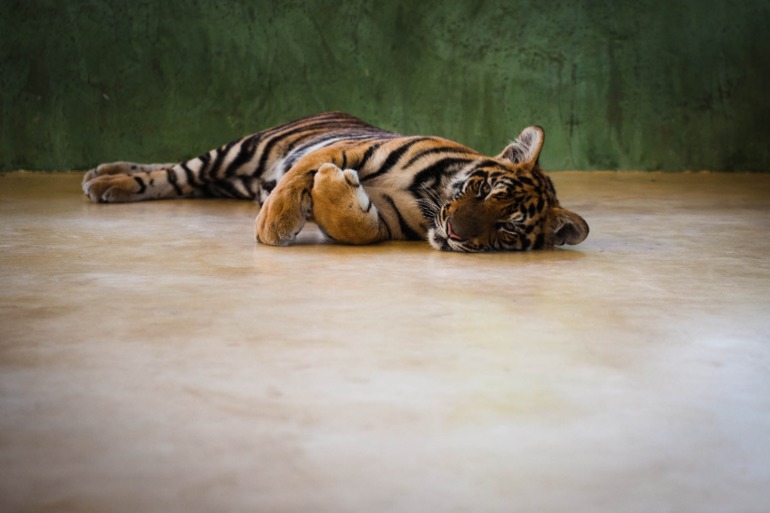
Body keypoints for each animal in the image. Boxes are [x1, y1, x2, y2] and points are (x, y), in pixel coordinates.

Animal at [82, 112, 588, 252]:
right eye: (482, 191)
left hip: (224, 178)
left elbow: (357, 226)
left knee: (182, 180)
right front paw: (274, 224)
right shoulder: (353, 148)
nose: (455, 233)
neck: (431, 195)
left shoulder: (388, 222)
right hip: (236, 151)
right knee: (171, 172)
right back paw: (104, 179)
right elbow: (300, 173)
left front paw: (334, 190)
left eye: (506, 229)